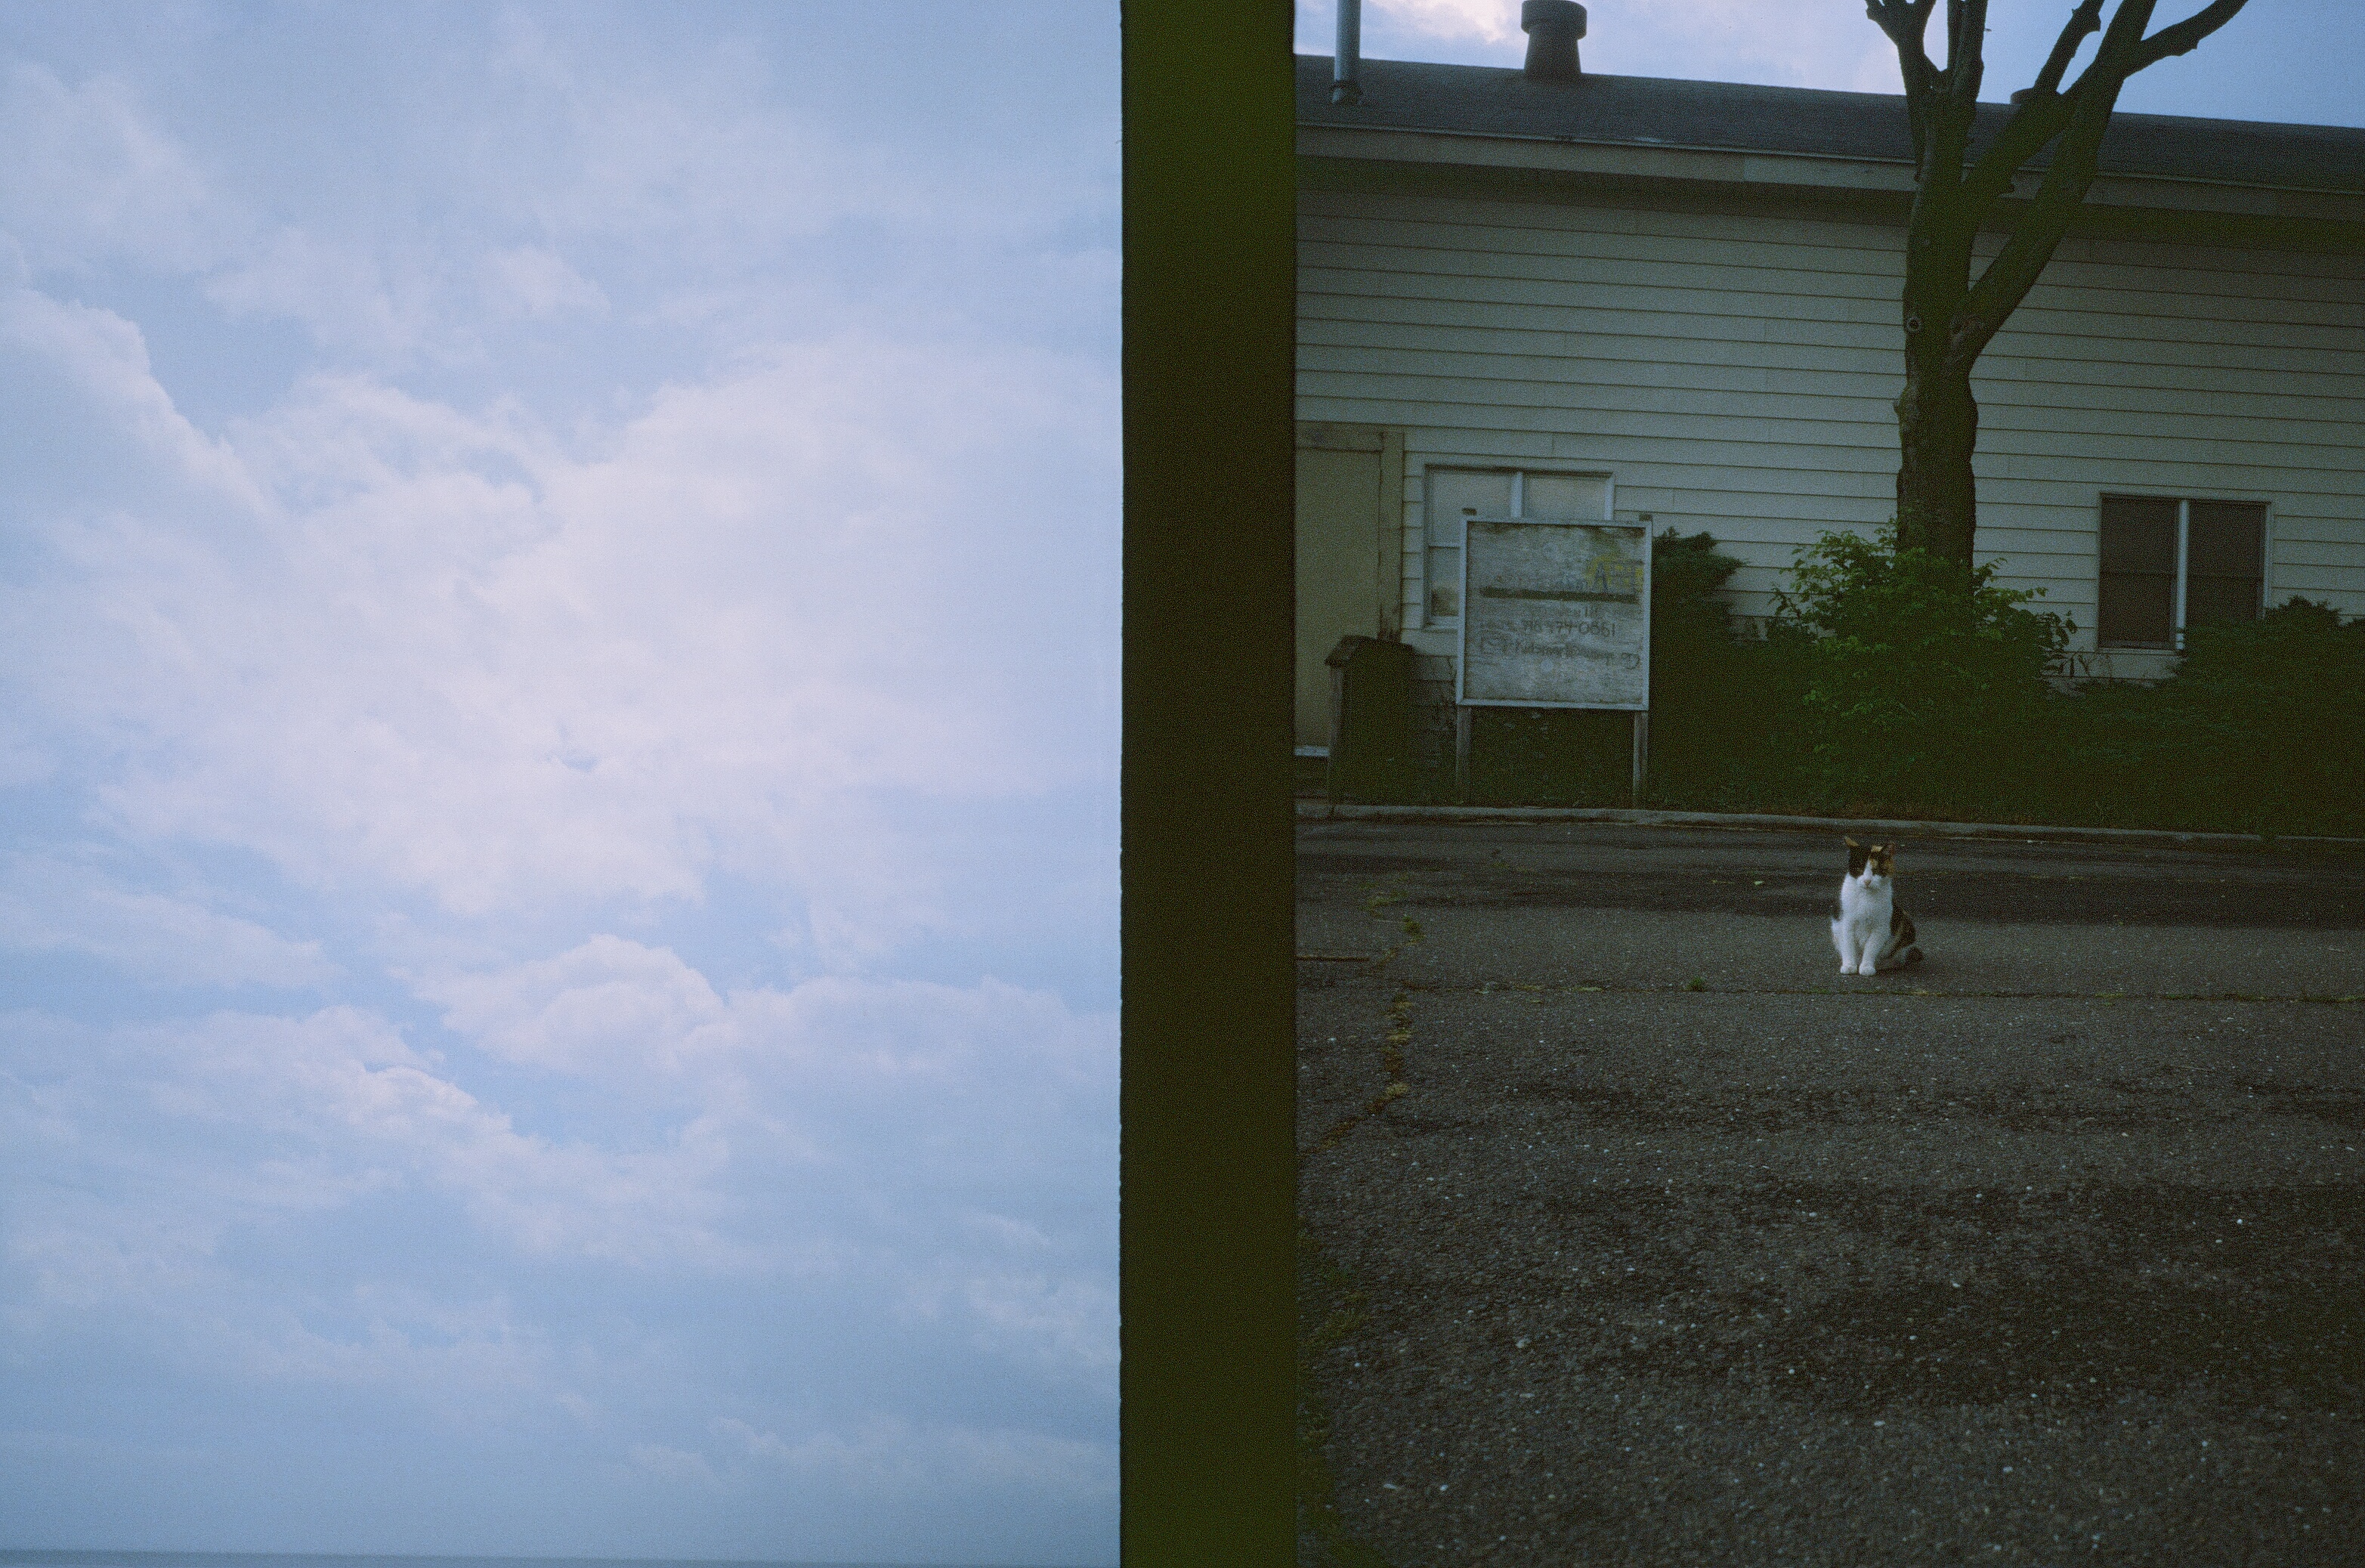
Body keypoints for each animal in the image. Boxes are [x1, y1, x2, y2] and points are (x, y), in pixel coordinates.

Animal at [1826, 842, 1920, 974]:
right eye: (1860, 869)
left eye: (1876, 870)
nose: (1867, 881)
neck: (1866, 897)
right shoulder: (1846, 924)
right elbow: (1849, 946)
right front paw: (1849, 965)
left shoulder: (1880, 928)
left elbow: (1871, 948)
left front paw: (1867, 967)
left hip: (1905, 922)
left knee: (1899, 958)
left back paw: (1884, 964)